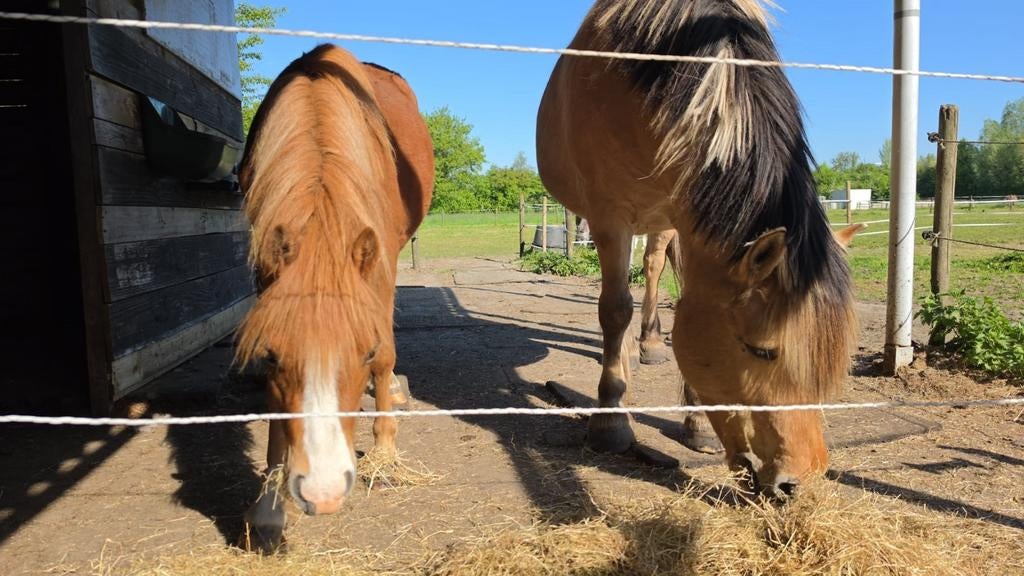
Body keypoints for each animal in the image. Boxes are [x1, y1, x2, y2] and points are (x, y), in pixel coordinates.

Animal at [234, 44, 433, 552]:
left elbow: (385, 355)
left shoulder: (378, 265)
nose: (322, 494)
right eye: (269, 357)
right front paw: (268, 509)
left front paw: (385, 447)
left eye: (363, 351)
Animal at [537, 0, 863, 498]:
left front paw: (697, 423)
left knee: (653, 268)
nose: (802, 479)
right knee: (626, 297)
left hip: (662, 224)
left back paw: (649, 344)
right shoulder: (609, 217)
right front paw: (610, 421)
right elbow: (615, 309)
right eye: (762, 351)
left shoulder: (687, 219)